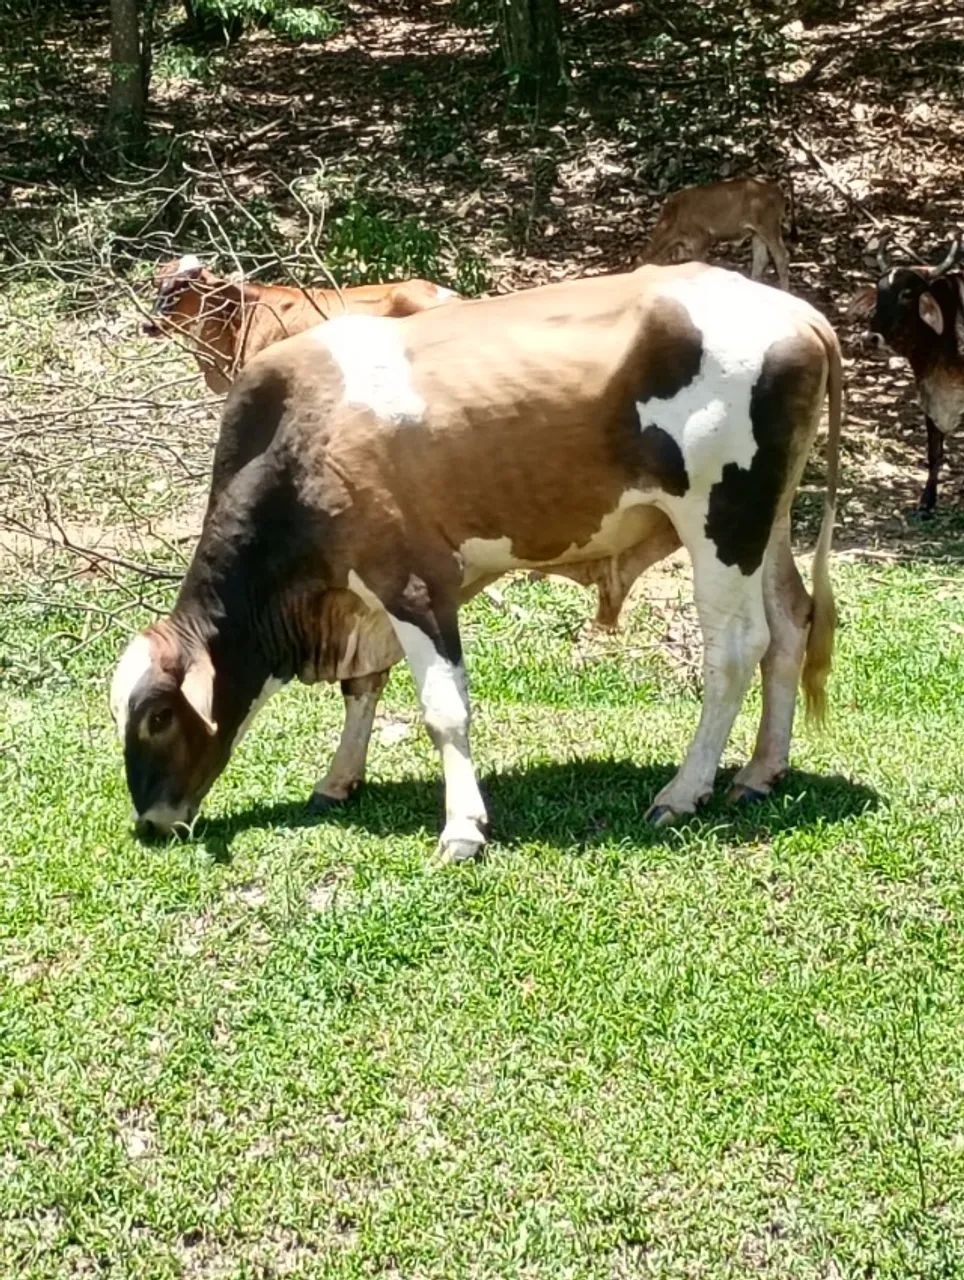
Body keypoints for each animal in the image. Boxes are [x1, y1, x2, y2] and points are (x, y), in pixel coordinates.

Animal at [639, 177, 795, 291]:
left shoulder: (702, 241)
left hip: (769, 229)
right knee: (761, 259)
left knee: (782, 256)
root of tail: (777, 190)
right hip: (756, 233)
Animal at [849, 234, 963, 515]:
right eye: (879, 291)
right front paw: (926, 502)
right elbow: (934, 452)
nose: (870, 338)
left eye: (907, 294)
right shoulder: (930, 395)